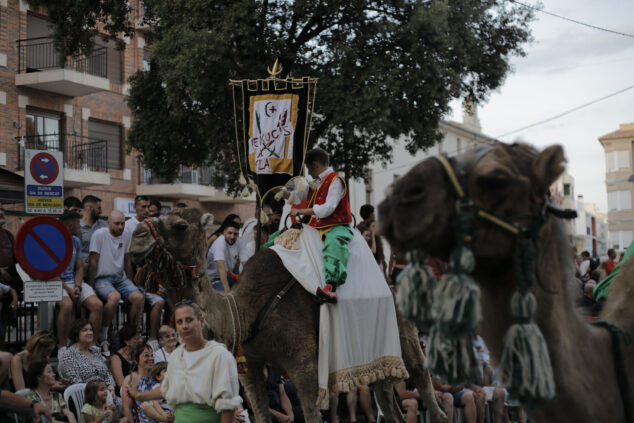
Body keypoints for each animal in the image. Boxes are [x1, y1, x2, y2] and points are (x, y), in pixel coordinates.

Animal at [128, 208, 444, 423]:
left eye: (180, 225)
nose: (137, 237)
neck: (243, 313)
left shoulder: (304, 366)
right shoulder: (250, 366)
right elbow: (261, 413)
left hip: (406, 341)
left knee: (427, 389)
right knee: (388, 402)